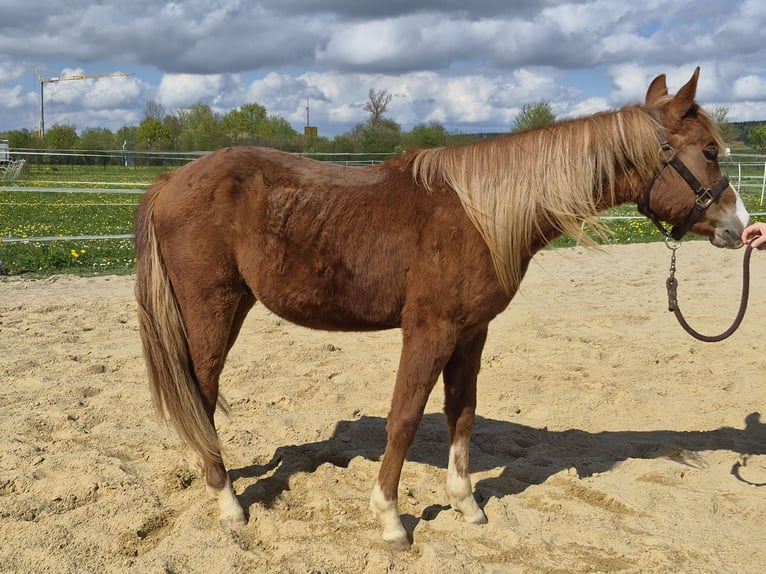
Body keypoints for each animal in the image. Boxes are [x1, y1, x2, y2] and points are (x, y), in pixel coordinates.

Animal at [134, 68, 748, 549]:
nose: (740, 228)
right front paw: (390, 519)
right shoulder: (429, 330)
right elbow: (404, 418)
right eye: (708, 151)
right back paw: (229, 506)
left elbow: (463, 412)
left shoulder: (471, 332)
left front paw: (465, 502)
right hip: (211, 309)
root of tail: (171, 180)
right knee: (201, 394)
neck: (479, 212)